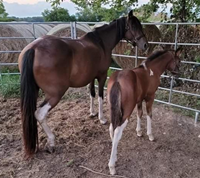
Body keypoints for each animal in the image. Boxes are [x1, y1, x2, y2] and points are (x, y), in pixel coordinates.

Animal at [18, 10, 148, 157]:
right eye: (134, 26)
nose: (145, 45)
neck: (101, 43)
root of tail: (34, 49)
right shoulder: (102, 76)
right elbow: (100, 96)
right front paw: (102, 118)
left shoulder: (91, 77)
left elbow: (92, 93)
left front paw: (92, 113)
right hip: (55, 94)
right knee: (40, 113)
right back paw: (51, 142)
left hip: (35, 91)